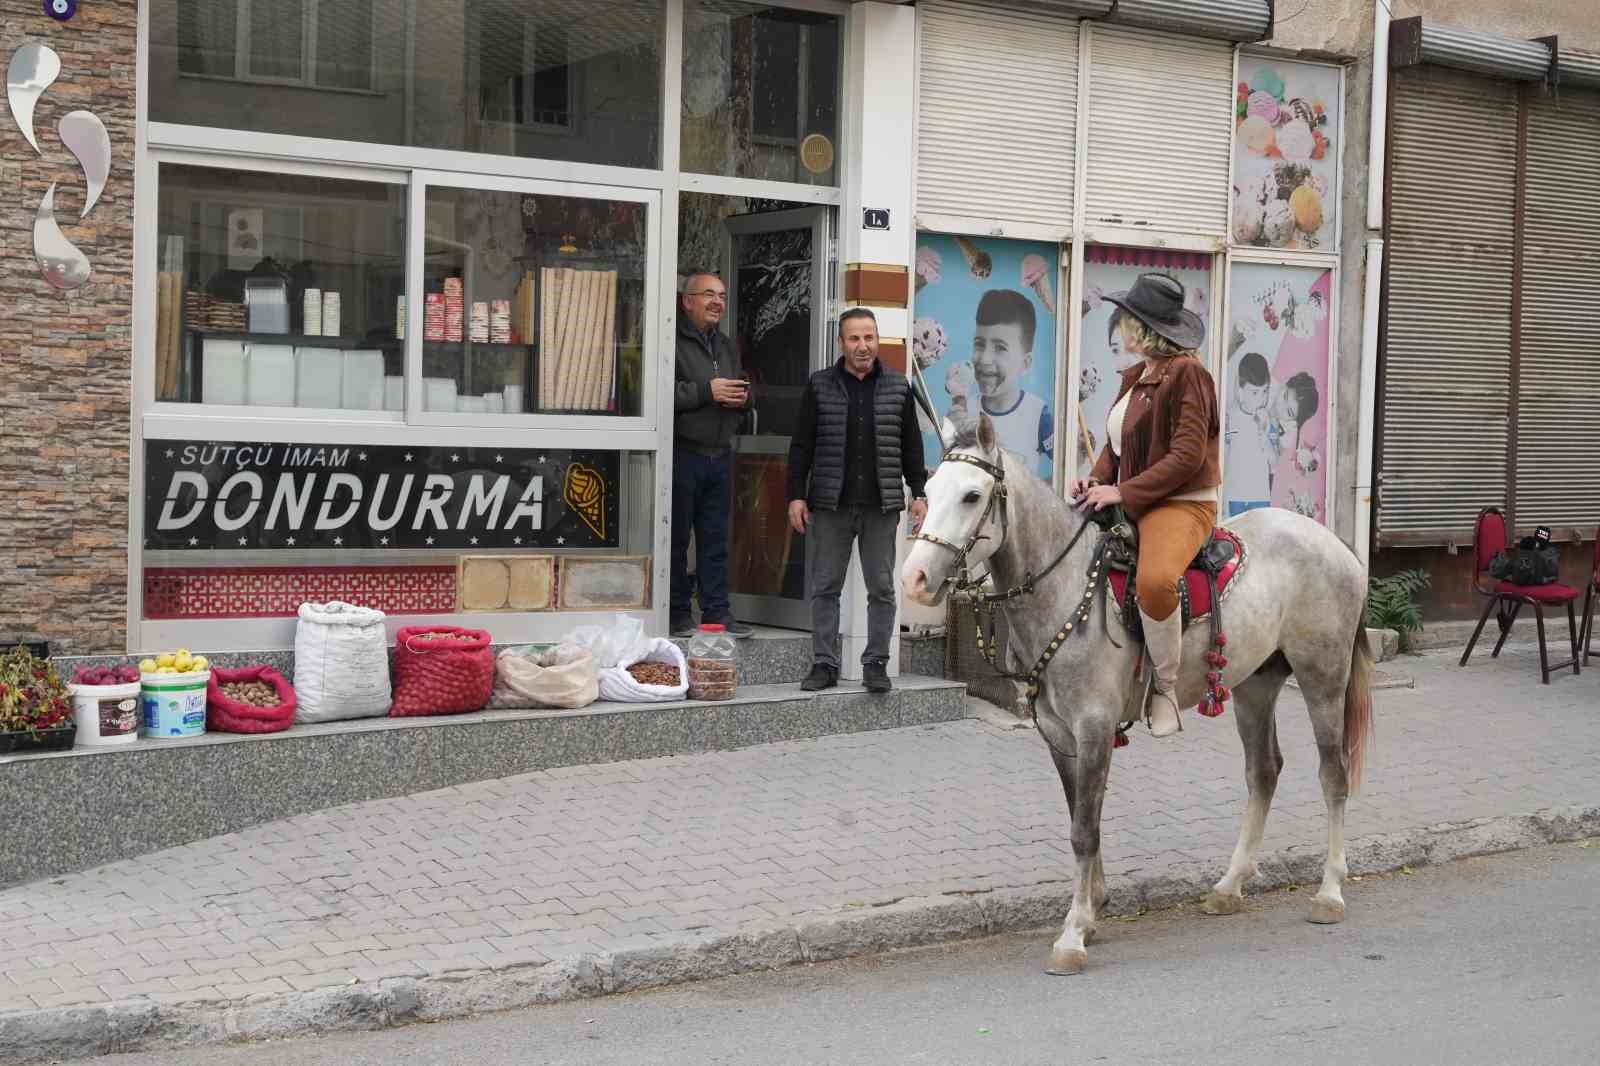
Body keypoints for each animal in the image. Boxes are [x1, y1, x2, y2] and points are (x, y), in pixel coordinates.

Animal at [902, 412, 1376, 973]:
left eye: (972, 495)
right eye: (930, 488)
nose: (915, 577)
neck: (1065, 587)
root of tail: (1333, 541)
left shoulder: (1093, 727)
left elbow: (1083, 829)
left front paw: (1072, 935)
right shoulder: (1060, 735)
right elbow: (1082, 817)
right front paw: (1091, 913)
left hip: (1323, 676)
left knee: (1333, 775)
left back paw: (1329, 892)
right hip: (1255, 685)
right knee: (1263, 772)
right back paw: (1229, 886)